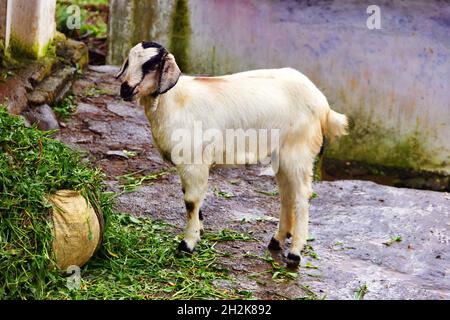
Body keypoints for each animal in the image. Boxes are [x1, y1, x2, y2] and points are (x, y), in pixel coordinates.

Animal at [116, 42, 348, 268]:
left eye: (150, 65)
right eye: (129, 61)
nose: (125, 89)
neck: (174, 101)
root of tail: (324, 106)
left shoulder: (193, 162)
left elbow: (190, 201)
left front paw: (187, 244)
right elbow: (192, 199)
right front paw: (199, 231)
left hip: (298, 152)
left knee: (301, 196)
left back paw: (294, 254)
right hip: (281, 155)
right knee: (287, 195)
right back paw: (277, 240)